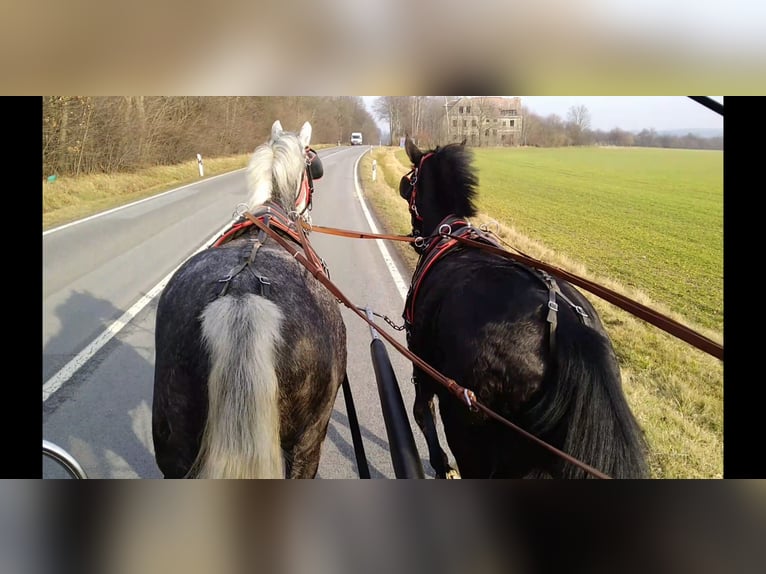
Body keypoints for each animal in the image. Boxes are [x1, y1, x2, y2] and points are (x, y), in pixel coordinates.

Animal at [400, 137, 652, 480]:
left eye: (409, 181)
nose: (416, 237)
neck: (451, 231)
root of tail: (567, 327)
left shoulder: (421, 361)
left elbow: (422, 413)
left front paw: (440, 465)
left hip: (470, 427)